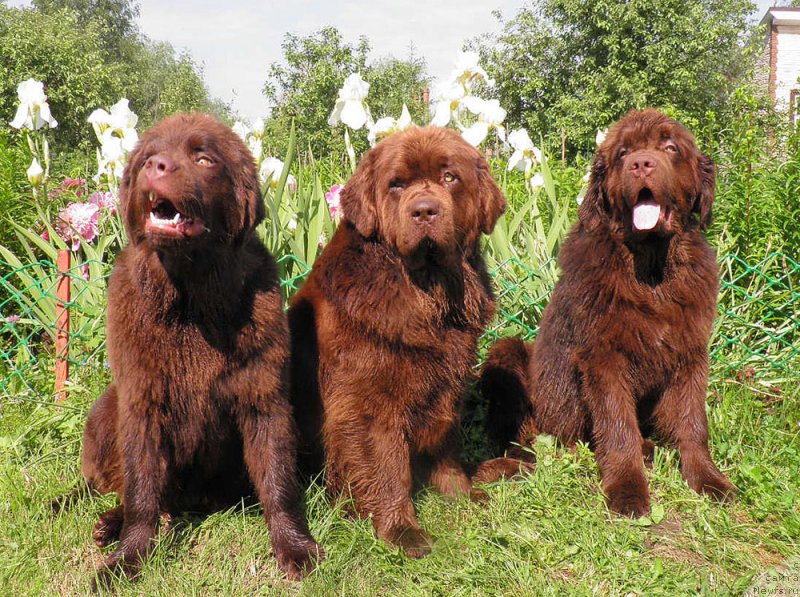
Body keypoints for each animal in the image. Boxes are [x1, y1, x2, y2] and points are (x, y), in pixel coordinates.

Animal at [79, 112, 322, 588]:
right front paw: (127, 559)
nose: (155, 166)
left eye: (204, 158)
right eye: (147, 156)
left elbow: (279, 480)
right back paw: (110, 523)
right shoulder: (141, 402)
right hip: (105, 409)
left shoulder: (263, 397)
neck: (191, 300)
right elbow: (141, 491)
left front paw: (295, 548)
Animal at [478, 109, 736, 516]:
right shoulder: (603, 356)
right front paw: (628, 490)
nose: (641, 164)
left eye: (670, 147)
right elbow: (617, 427)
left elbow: (693, 423)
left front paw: (709, 480)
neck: (650, 270)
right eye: (623, 153)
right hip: (511, 356)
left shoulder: (690, 352)